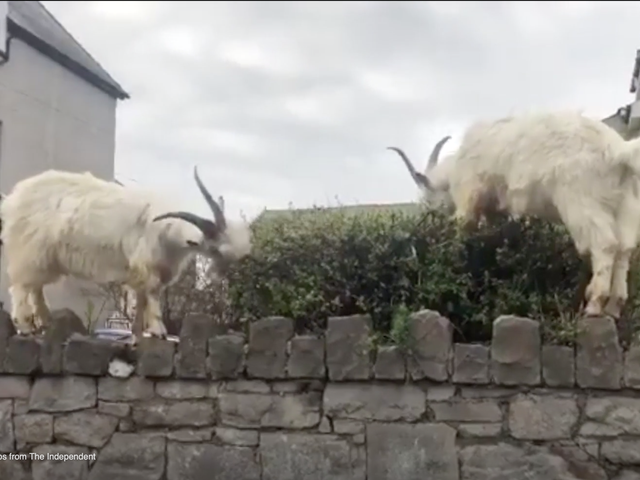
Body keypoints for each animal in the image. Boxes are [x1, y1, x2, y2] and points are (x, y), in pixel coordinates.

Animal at [0, 168, 252, 338]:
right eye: (214, 247)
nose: (230, 266)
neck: (167, 231)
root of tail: (12, 200)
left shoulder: (148, 270)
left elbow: (141, 300)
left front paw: (138, 333)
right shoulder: (147, 265)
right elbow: (153, 295)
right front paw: (159, 330)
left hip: (42, 257)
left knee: (35, 287)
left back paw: (44, 322)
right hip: (28, 249)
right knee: (21, 287)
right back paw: (26, 326)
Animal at [388, 109, 640, 318]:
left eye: (428, 197)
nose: (427, 219)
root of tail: (617, 152)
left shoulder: (470, 195)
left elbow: (465, 226)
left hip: (582, 201)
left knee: (605, 244)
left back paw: (595, 304)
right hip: (627, 205)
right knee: (624, 248)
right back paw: (614, 307)